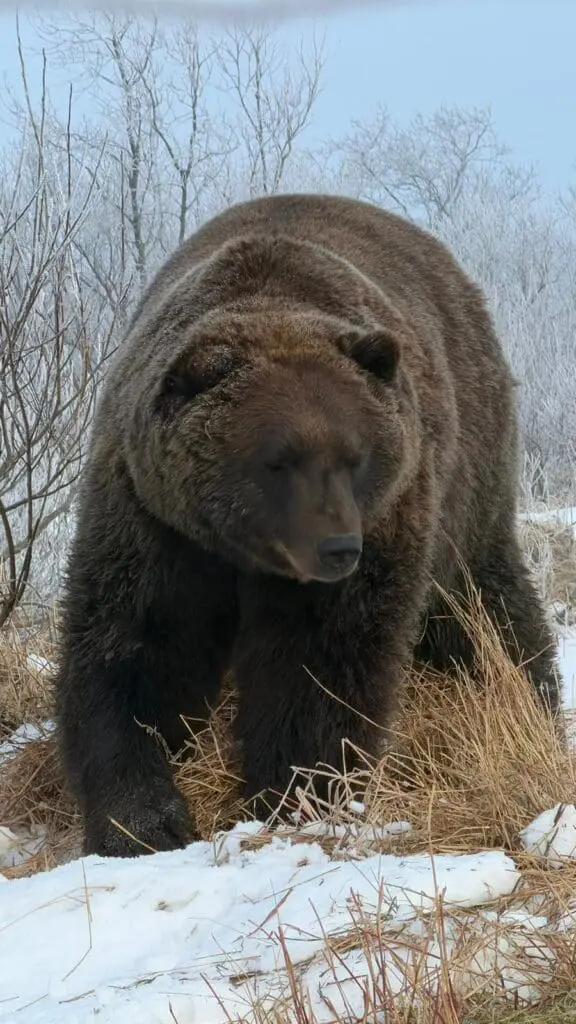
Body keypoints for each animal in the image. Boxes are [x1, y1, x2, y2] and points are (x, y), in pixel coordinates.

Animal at [54, 192, 560, 858]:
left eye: (355, 456)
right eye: (278, 460)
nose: (338, 547)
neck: (240, 549)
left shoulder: (387, 517)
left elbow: (319, 665)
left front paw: (298, 795)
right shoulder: (156, 520)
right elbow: (135, 645)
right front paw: (142, 820)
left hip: (469, 485)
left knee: (486, 612)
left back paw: (530, 702)